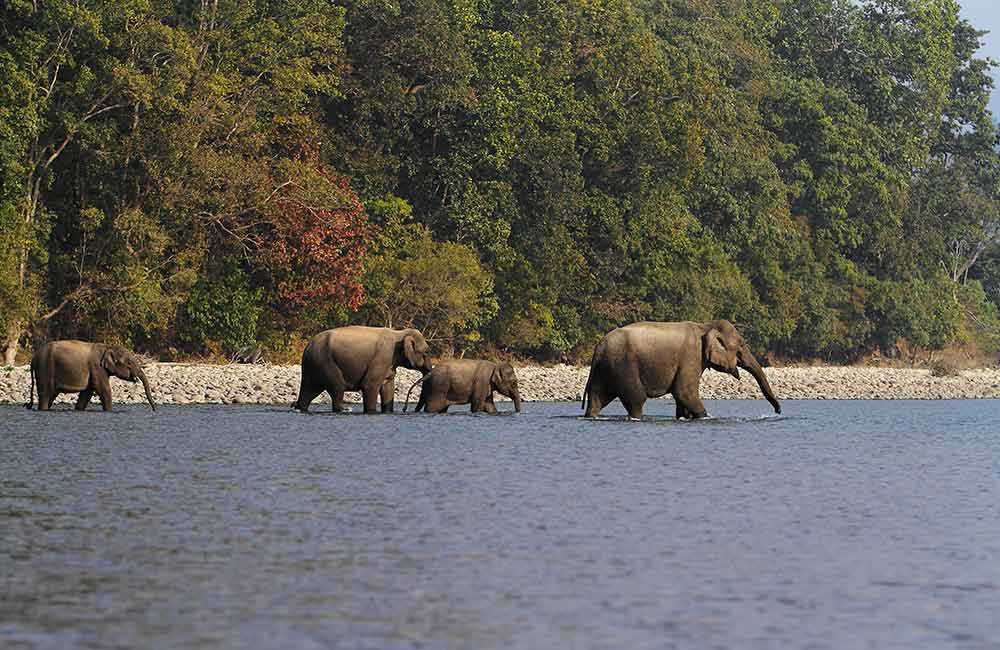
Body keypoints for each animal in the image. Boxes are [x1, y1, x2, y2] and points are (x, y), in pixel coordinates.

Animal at [26, 340, 156, 410]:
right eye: (129, 363)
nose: (154, 410)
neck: (108, 347)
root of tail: (33, 358)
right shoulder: (97, 367)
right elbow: (103, 389)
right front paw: (109, 411)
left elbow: (87, 392)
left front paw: (78, 409)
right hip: (44, 368)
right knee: (45, 394)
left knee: (52, 394)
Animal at [290, 326, 430, 412]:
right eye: (426, 352)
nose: (405, 409)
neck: (399, 333)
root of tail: (308, 347)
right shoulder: (382, 359)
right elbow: (369, 385)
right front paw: (370, 411)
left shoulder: (389, 365)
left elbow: (388, 387)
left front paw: (388, 411)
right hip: (325, 362)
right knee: (337, 387)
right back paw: (343, 409)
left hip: (313, 366)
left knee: (309, 391)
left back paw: (300, 407)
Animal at [580, 316, 780, 418]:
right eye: (741, 346)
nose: (777, 411)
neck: (705, 326)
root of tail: (598, 347)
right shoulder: (691, 356)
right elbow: (684, 393)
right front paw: (705, 416)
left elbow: (681, 397)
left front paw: (684, 417)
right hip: (623, 365)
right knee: (636, 399)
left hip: (605, 369)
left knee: (597, 398)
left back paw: (591, 416)